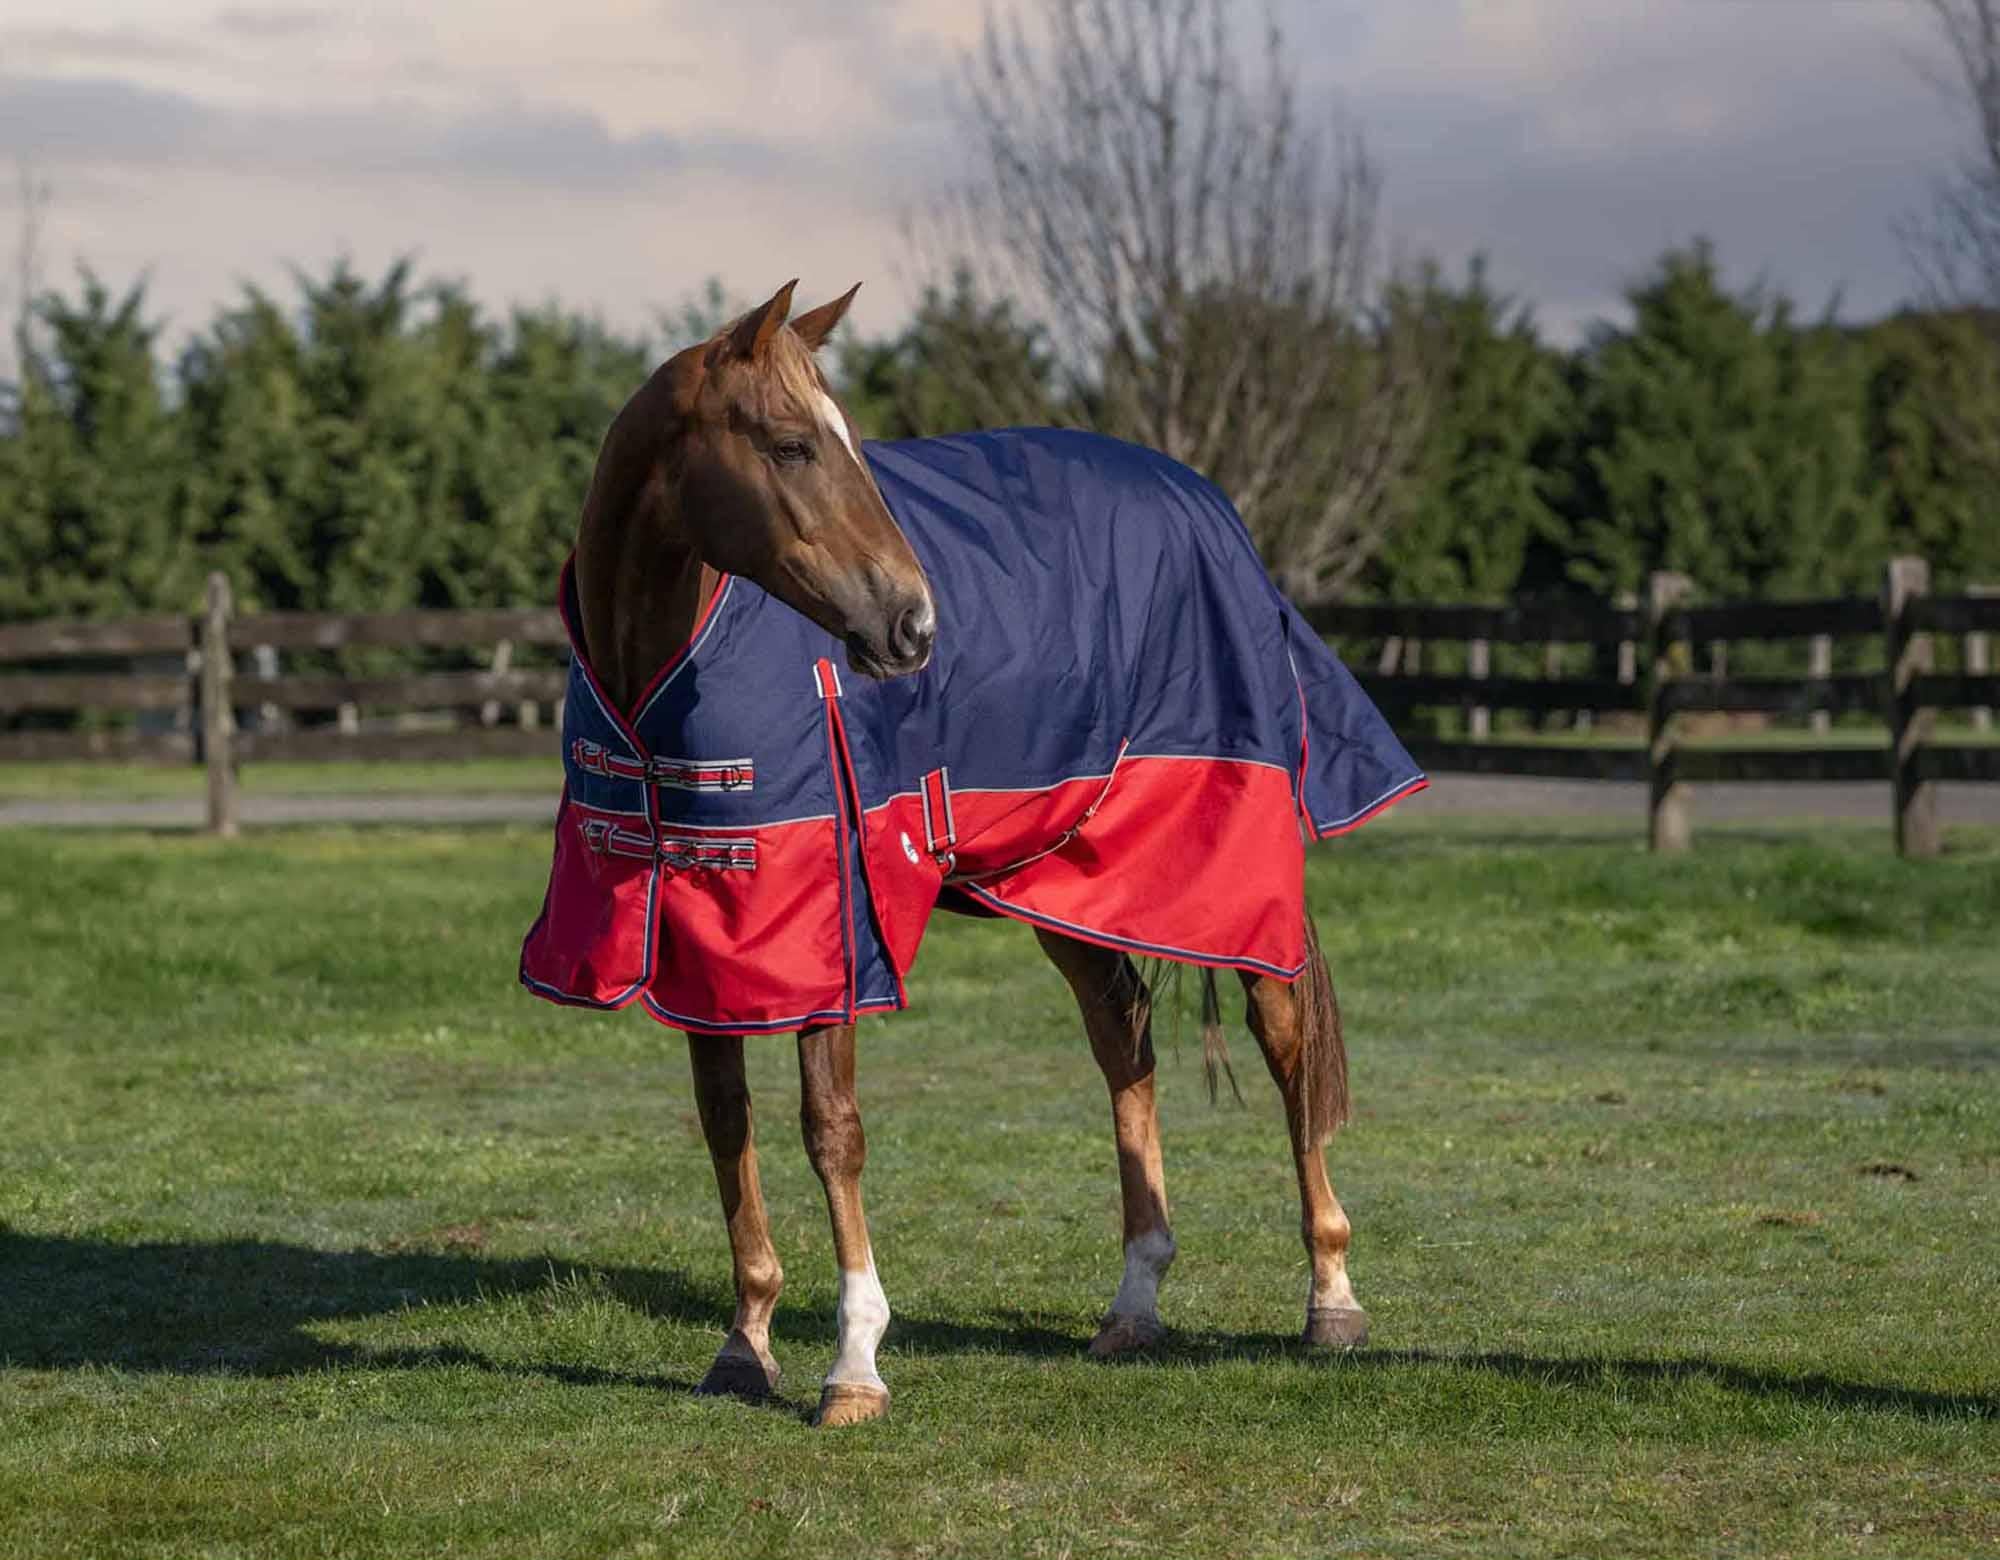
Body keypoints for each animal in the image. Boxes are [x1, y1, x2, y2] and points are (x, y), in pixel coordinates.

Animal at [520, 280, 1424, 1427]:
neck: (659, 670)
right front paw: (745, 1341)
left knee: (1284, 1037)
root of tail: (1207, 507)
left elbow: (831, 1127)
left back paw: (1330, 1296)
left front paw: (854, 1363)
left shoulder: (831, 919)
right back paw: (1134, 1302)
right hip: (1068, 882)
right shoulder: (703, 923)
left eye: (847, 442)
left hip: (1228, 865)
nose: (912, 624)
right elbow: (726, 1121)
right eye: (790, 445)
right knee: (1124, 1040)